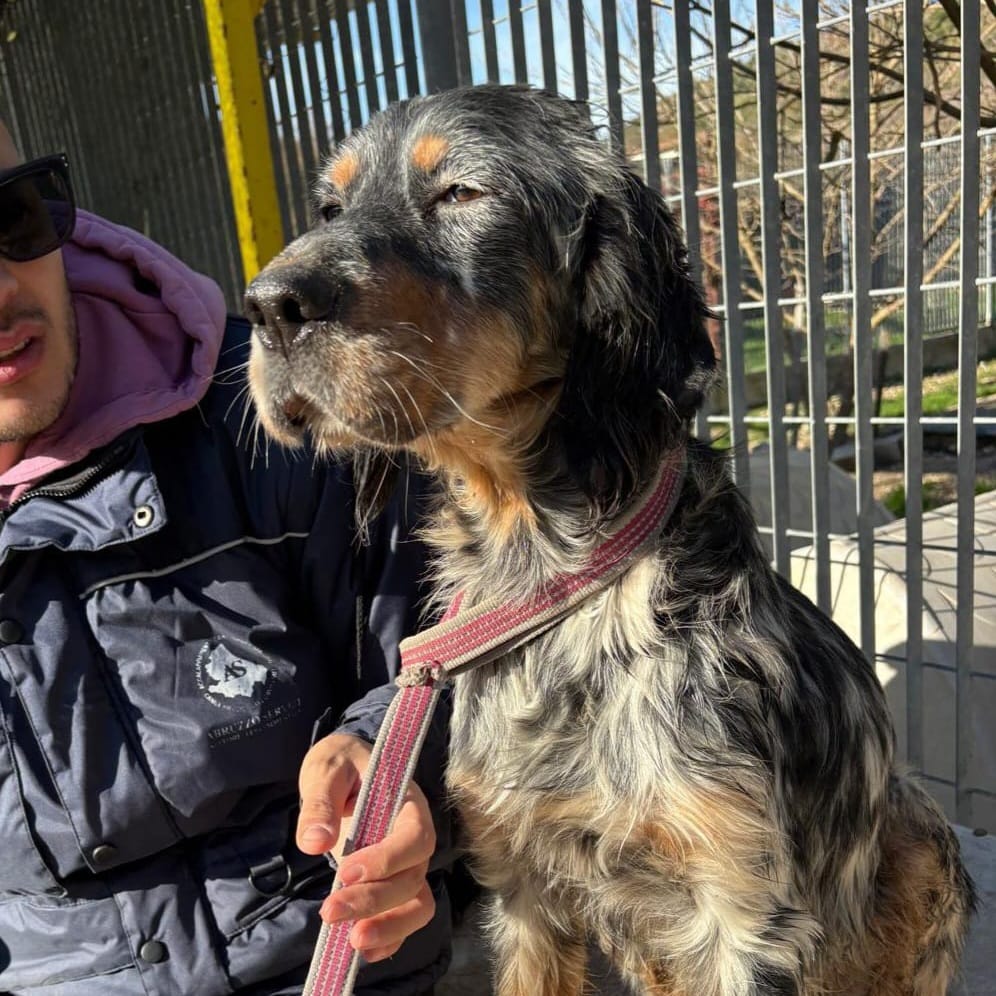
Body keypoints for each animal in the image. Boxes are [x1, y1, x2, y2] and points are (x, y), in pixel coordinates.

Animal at [245, 85, 974, 996]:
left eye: (461, 193)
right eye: (331, 208)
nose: (267, 305)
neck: (549, 578)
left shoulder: (746, 917)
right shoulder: (521, 886)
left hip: (924, 837)